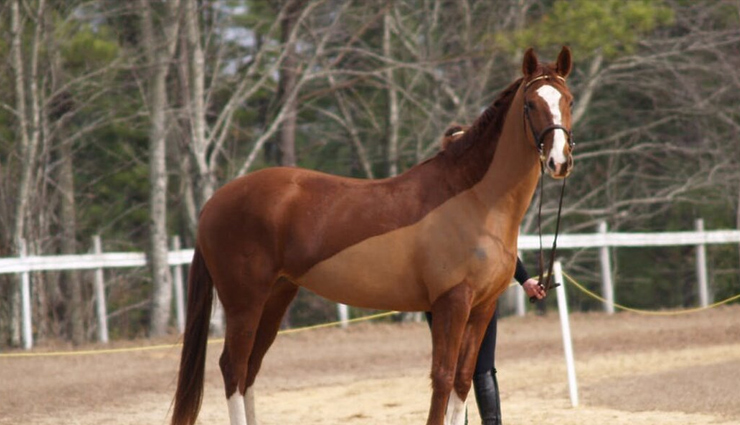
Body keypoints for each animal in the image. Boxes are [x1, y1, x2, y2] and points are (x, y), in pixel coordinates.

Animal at [171, 46, 574, 425]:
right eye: (531, 104)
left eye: (567, 100)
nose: (560, 162)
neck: (475, 200)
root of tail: (215, 201)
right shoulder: (452, 302)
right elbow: (442, 378)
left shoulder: (483, 307)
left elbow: (463, 380)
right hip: (245, 302)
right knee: (233, 367)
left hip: (276, 297)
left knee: (250, 370)